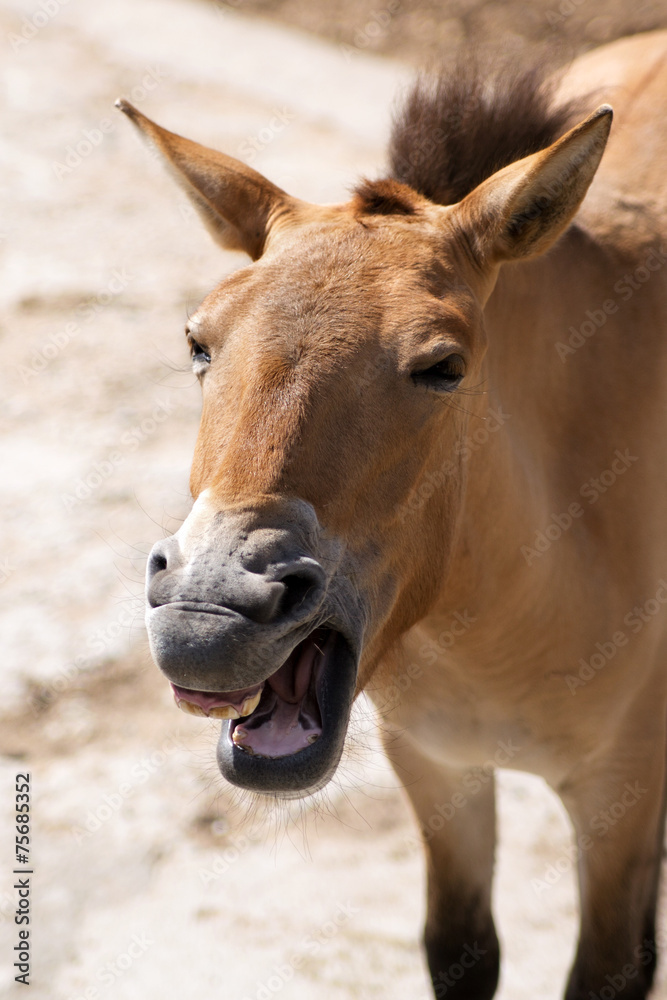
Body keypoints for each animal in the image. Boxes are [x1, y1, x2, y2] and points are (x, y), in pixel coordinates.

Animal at [117, 29, 667, 999]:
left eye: (442, 366)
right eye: (198, 344)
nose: (207, 616)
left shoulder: (621, 801)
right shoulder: (437, 768)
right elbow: (461, 948)